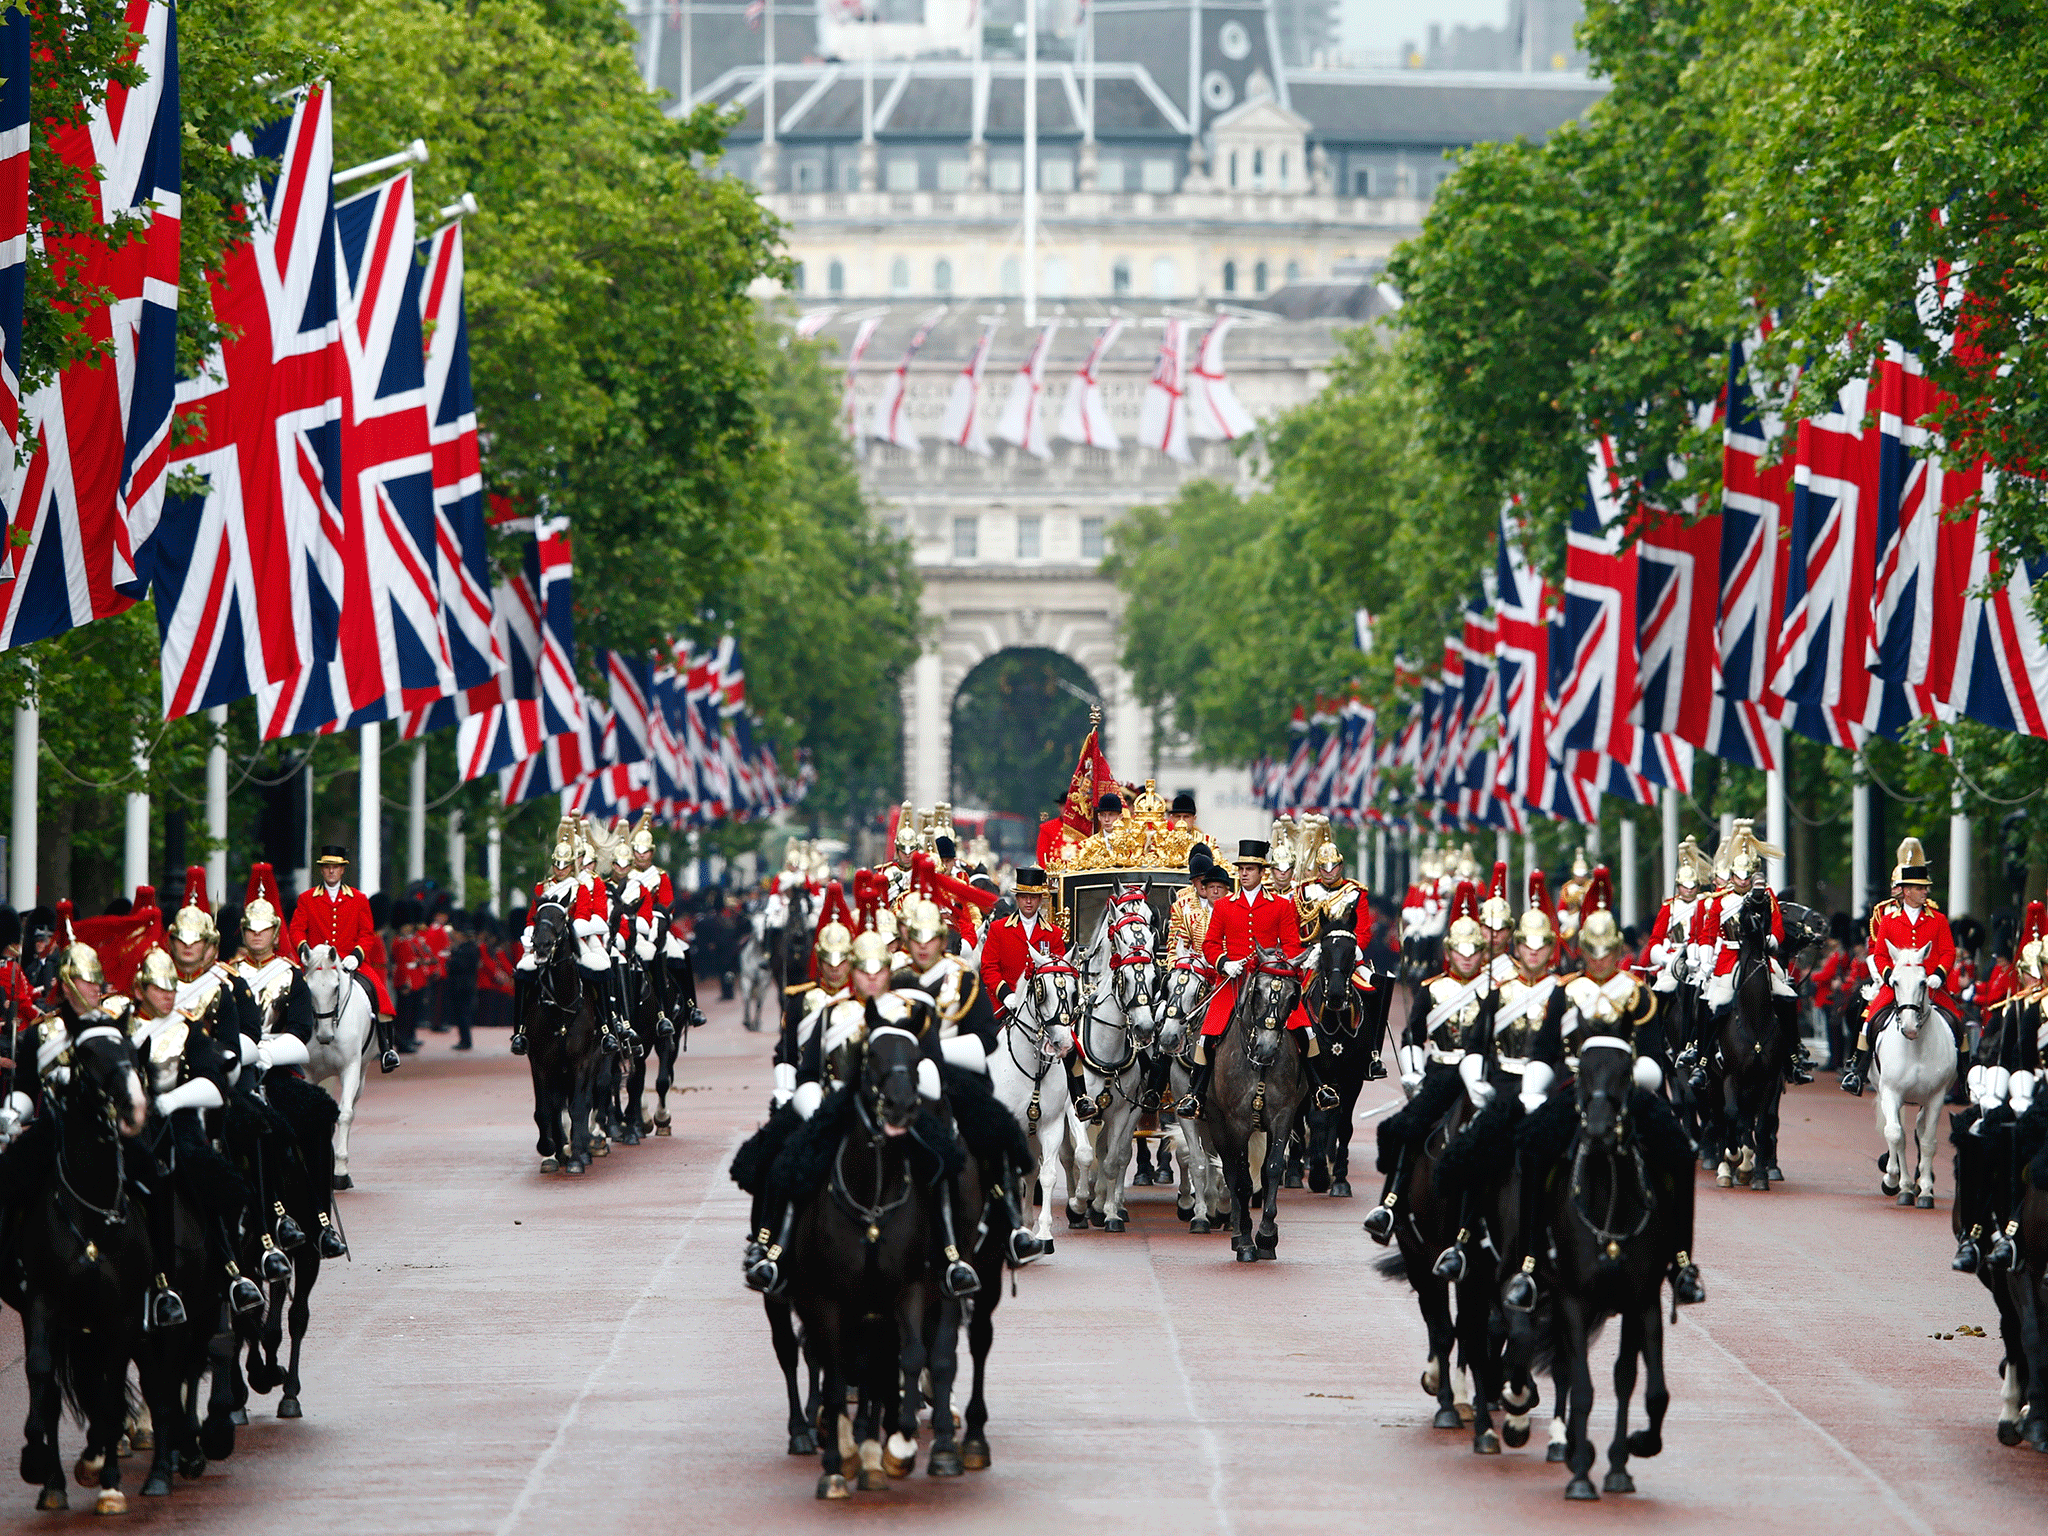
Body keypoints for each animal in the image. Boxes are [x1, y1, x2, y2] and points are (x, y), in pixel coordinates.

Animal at [303, 946, 385, 1196]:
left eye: (336, 987)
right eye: (308, 988)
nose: (324, 1036)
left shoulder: (351, 1069)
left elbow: (346, 1114)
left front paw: (340, 1172)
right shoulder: (309, 1073)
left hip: (362, 1074)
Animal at [516, 901, 602, 1179]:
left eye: (562, 918)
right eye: (536, 917)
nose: (541, 946)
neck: (562, 1004)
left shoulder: (582, 1062)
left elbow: (578, 1106)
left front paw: (576, 1156)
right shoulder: (540, 1063)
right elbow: (546, 1108)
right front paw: (549, 1149)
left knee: (586, 1101)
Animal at [991, 950, 1089, 1253]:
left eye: (1074, 991)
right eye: (1040, 990)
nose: (1062, 1044)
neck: (1032, 1067)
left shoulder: (1051, 1126)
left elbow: (1046, 1176)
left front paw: (1044, 1233)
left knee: (1032, 1171)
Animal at [1875, 937, 1949, 1212]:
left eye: (1923, 982)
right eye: (1894, 981)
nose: (1909, 1027)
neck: (1915, 1047)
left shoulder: (1936, 1097)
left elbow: (1927, 1142)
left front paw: (1926, 1190)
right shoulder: (1890, 1093)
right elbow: (1896, 1135)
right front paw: (1895, 1180)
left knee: (1918, 1131)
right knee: (1901, 1134)